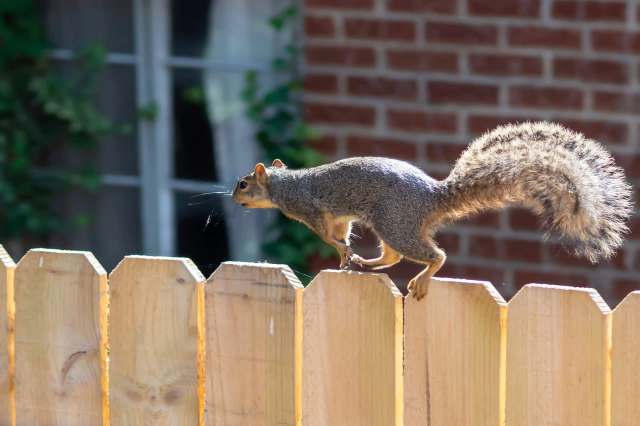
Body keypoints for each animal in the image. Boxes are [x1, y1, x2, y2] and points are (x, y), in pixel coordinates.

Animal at [232, 122, 633, 299]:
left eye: (243, 184)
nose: (235, 200)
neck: (285, 184)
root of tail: (432, 197)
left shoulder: (310, 209)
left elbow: (328, 235)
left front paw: (340, 250)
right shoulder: (339, 216)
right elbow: (341, 232)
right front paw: (346, 253)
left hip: (395, 223)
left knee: (432, 255)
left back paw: (422, 278)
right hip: (392, 225)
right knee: (392, 257)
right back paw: (367, 263)